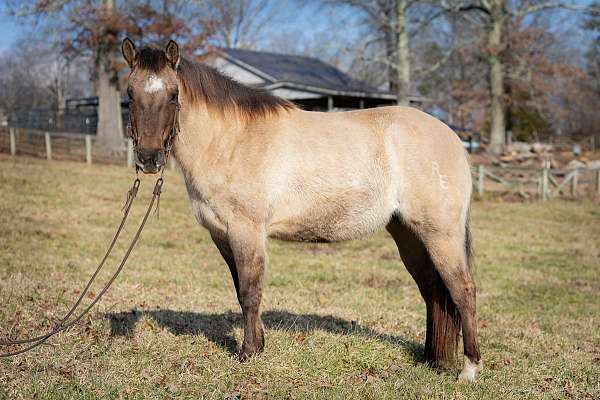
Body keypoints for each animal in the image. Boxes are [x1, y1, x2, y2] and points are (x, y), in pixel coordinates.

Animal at [120, 38, 482, 382]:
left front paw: (247, 353)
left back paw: (469, 369)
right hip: (409, 235)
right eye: (130, 93)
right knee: (433, 291)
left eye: (172, 95)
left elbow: (250, 292)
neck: (231, 141)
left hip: (441, 234)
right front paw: (258, 345)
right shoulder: (222, 235)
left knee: (463, 291)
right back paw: (430, 359)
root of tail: (453, 139)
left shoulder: (246, 231)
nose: (149, 159)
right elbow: (240, 289)